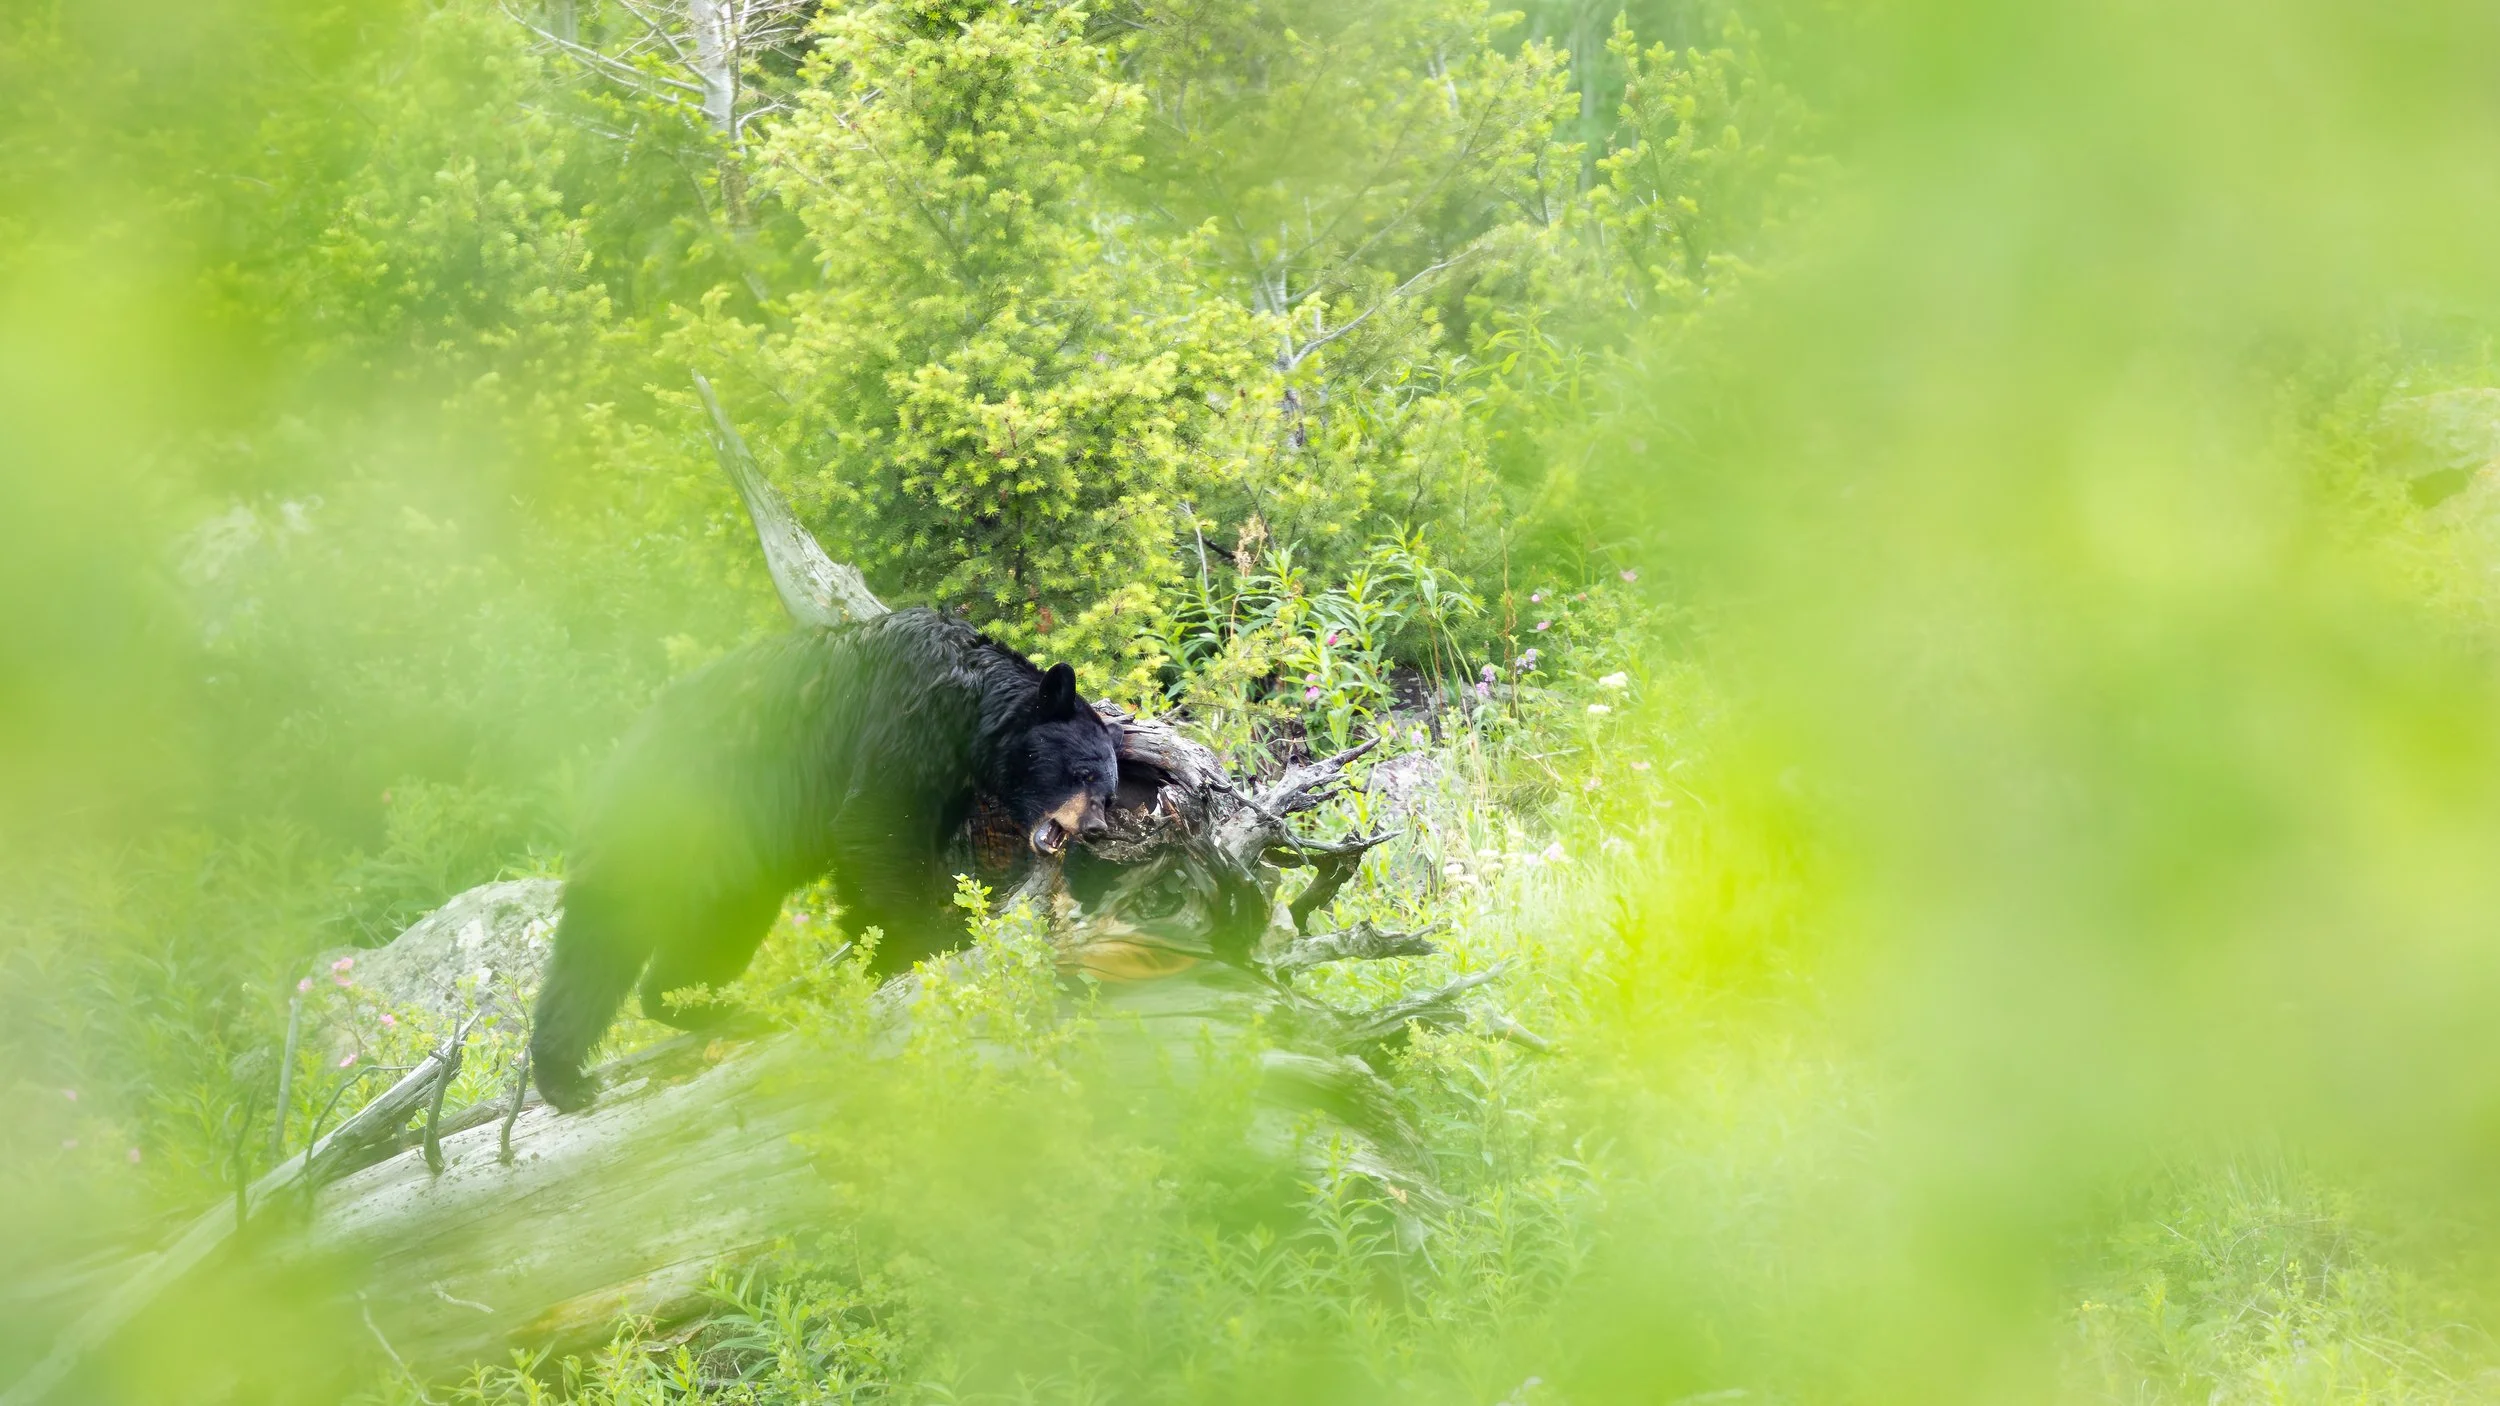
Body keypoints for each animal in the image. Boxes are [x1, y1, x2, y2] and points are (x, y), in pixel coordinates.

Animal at [527, 606, 1118, 1110]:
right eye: (1083, 772)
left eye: (1110, 792)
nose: (1095, 828)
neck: (970, 703)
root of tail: (612, 762)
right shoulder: (908, 719)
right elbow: (873, 821)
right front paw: (931, 937)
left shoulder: (945, 777)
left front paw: (878, 950)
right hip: (666, 826)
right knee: (604, 937)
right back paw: (562, 1075)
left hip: (733, 871)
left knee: (715, 932)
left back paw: (698, 1005)